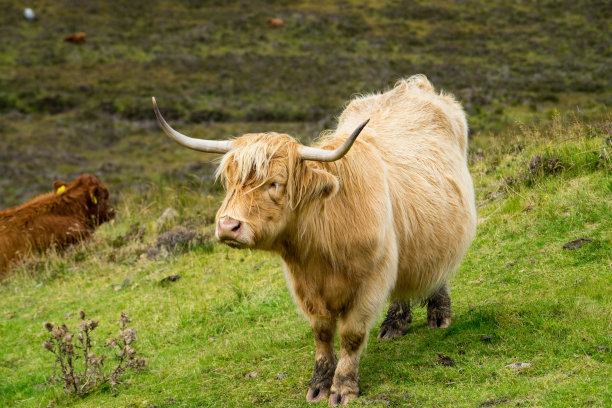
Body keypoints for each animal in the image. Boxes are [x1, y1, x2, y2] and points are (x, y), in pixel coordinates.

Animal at [153, 75, 478, 404]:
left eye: (275, 183)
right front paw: (320, 383)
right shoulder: (305, 286)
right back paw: (394, 325)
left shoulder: (371, 282)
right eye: (231, 181)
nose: (228, 226)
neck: (323, 244)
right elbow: (322, 333)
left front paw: (343, 388)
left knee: (437, 267)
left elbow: (351, 335)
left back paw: (439, 314)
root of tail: (413, 84)